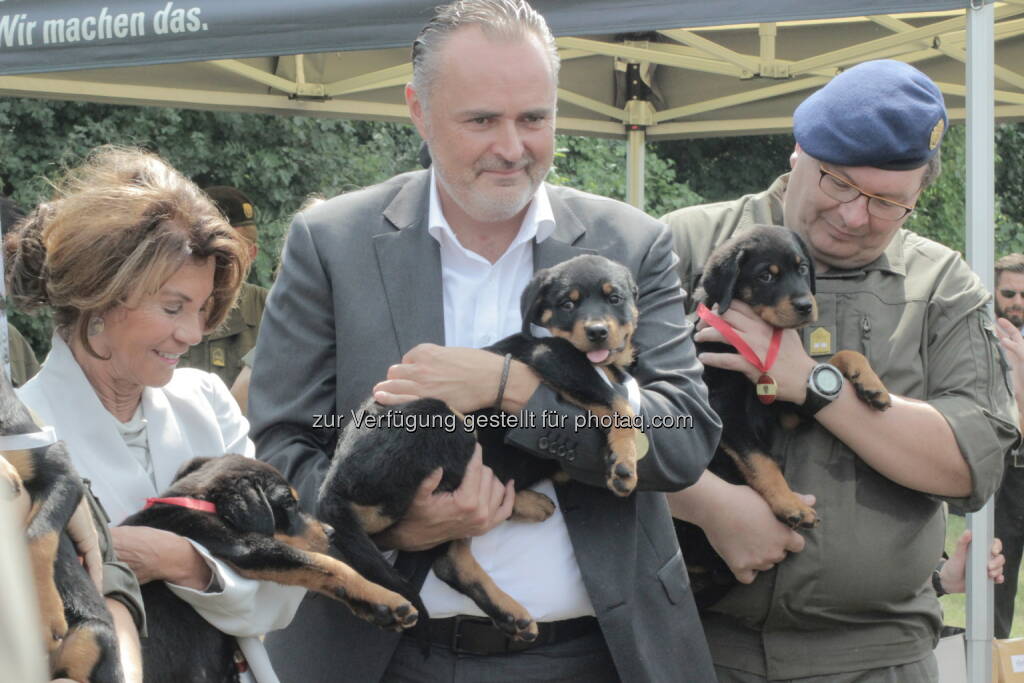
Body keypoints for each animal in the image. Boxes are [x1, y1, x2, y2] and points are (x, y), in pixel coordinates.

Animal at [120, 454, 419, 683]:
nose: (331, 532)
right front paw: (389, 601)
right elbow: (327, 564)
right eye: (288, 503)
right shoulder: (247, 548)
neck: (204, 505)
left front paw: (375, 610)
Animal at [319, 253, 638, 643]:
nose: (597, 332)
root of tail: (332, 483)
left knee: (448, 560)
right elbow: (616, 401)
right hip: (448, 422)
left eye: (615, 298)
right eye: (567, 304)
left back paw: (511, 608)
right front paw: (624, 465)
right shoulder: (553, 358)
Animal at [671, 224, 888, 610]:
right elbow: (762, 460)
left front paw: (869, 382)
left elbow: (834, 360)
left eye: (802, 269)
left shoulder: (785, 406)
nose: (805, 305)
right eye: (765, 276)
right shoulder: (724, 412)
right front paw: (791, 505)